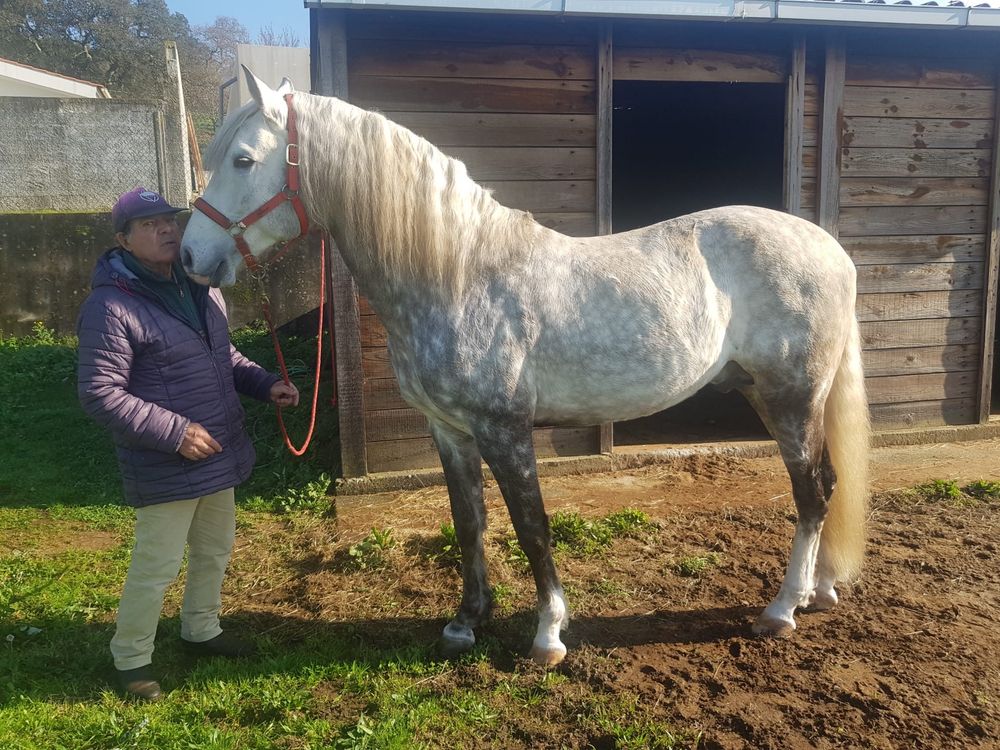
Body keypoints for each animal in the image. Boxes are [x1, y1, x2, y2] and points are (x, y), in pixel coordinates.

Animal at [180, 70, 868, 668]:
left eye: (243, 160)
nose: (191, 257)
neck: (457, 274)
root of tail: (831, 249)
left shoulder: (504, 429)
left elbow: (531, 527)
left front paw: (547, 635)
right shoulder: (450, 431)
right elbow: (470, 523)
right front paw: (465, 623)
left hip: (790, 397)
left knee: (811, 494)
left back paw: (781, 610)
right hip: (770, 396)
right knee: (829, 485)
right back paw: (819, 592)